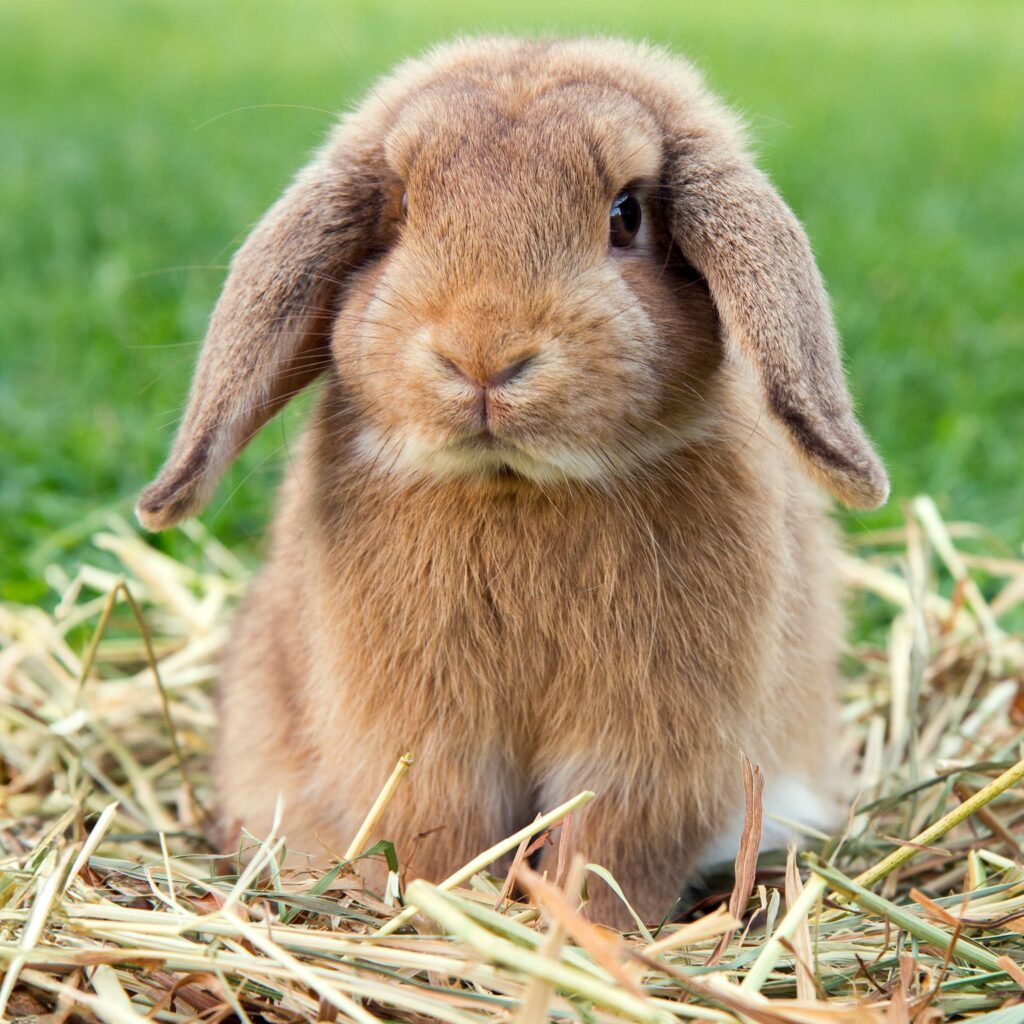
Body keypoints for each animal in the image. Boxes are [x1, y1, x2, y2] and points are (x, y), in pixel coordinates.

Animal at [137, 36, 888, 927]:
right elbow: (441, 834)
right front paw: (447, 913)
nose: (484, 355)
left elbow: (605, 848)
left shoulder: (647, 749)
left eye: (626, 214)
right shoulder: (429, 742)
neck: (515, 487)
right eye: (400, 209)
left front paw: (584, 929)